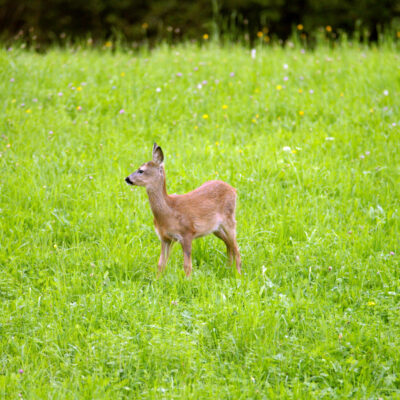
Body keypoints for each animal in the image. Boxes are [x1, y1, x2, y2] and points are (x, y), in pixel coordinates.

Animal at [125, 144, 241, 278]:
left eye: (141, 170)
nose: (127, 179)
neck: (168, 212)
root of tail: (234, 190)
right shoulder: (165, 237)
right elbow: (161, 264)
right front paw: (157, 280)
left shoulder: (187, 233)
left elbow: (187, 266)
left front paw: (188, 280)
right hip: (215, 228)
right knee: (229, 245)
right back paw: (228, 268)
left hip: (230, 220)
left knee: (237, 248)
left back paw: (238, 274)